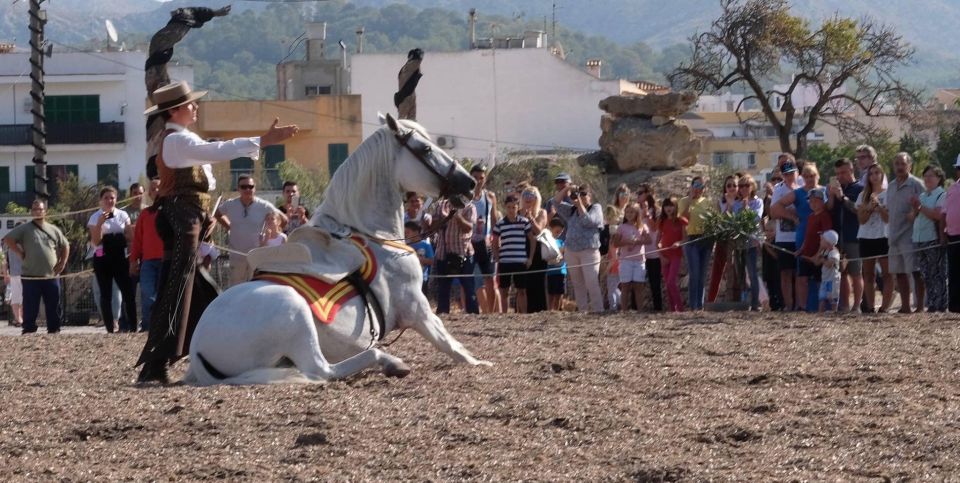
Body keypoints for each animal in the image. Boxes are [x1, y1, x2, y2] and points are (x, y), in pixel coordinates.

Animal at [184, 113, 492, 386]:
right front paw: (479, 363)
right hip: (294, 312)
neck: (375, 236)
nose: (469, 183)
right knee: (322, 370)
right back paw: (389, 362)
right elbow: (449, 343)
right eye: (426, 149)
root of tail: (197, 348)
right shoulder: (417, 307)